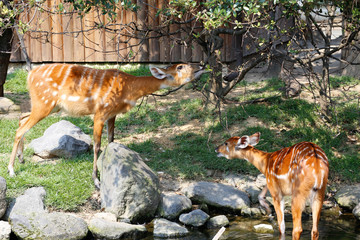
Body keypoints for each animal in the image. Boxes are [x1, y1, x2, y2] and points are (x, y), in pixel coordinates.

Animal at [8, 62, 205, 188]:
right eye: (180, 66)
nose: (201, 66)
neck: (128, 89)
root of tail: (29, 75)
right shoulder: (100, 114)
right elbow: (97, 145)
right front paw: (96, 180)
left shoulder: (112, 115)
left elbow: (111, 140)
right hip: (45, 104)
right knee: (20, 128)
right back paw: (11, 170)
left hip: (48, 106)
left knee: (21, 119)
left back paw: (21, 158)